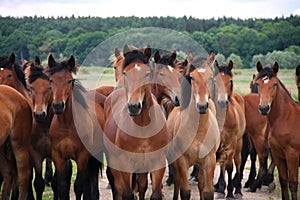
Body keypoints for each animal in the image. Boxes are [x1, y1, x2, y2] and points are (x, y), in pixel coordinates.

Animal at [45, 54, 104, 200]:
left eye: (69, 80)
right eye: (51, 80)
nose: (58, 105)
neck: (67, 126)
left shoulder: (82, 157)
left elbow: (78, 186)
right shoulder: (59, 157)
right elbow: (62, 186)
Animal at [103, 45, 169, 200]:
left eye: (147, 73)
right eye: (125, 73)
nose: (134, 106)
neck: (143, 126)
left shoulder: (157, 162)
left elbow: (153, 193)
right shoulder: (125, 163)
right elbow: (127, 194)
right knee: (117, 187)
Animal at [166, 68, 220, 199]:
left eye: (211, 77)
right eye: (192, 78)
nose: (202, 106)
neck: (199, 131)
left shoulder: (209, 159)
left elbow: (207, 191)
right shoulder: (182, 160)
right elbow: (185, 191)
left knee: (200, 183)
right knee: (177, 181)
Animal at [255, 61, 300, 200]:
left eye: (274, 84)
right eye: (257, 84)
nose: (264, 108)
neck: (285, 118)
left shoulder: (292, 155)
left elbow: (293, 184)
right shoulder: (278, 155)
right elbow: (284, 181)